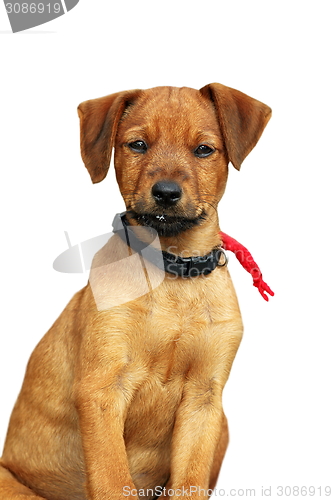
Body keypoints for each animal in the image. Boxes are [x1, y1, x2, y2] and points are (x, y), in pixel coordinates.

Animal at [0, 85, 270, 500]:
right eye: (138, 145)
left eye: (204, 149)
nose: (166, 193)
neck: (173, 274)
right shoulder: (102, 389)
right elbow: (113, 479)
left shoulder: (204, 398)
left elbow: (190, 482)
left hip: (221, 423)